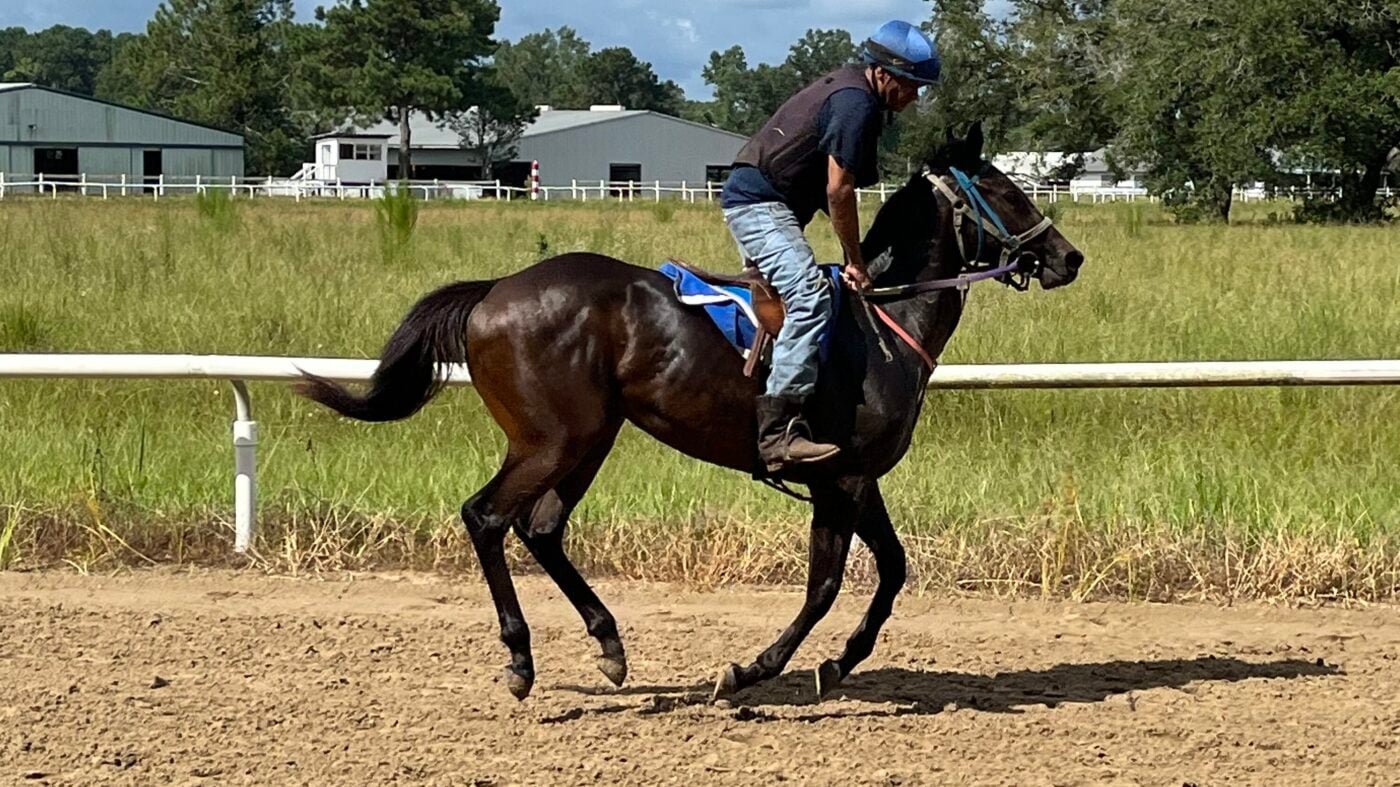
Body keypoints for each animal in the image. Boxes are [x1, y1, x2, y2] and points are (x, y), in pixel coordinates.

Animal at [296, 123, 1085, 702]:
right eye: (1003, 188)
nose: (1068, 256)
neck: (884, 321)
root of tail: (495, 290)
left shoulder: (854, 478)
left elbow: (883, 572)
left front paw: (833, 663)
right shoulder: (843, 479)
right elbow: (833, 583)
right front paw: (755, 669)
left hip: (592, 437)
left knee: (542, 528)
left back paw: (609, 643)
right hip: (551, 439)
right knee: (487, 516)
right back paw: (521, 659)